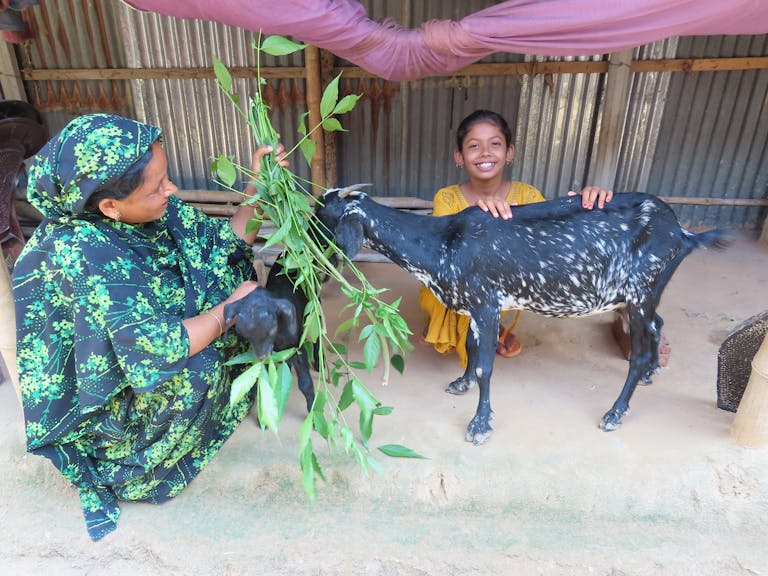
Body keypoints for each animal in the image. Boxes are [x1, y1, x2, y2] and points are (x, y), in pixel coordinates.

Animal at [315, 185, 728, 444]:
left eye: (321, 217)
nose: (302, 253)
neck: (445, 241)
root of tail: (683, 232)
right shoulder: (478, 306)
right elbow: (471, 349)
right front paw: (461, 383)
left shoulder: (486, 303)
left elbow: (486, 366)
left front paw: (480, 425)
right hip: (644, 295)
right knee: (658, 324)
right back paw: (651, 373)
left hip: (641, 290)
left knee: (638, 351)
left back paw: (615, 412)